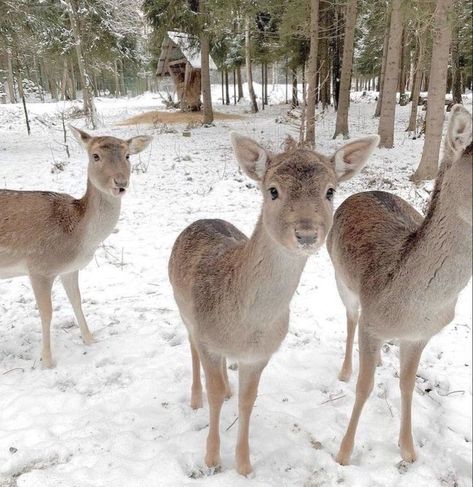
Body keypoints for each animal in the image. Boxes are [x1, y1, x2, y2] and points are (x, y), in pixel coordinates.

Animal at [0, 126, 151, 366]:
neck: (80, 239)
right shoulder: (39, 268)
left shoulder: (70, 269)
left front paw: (90, 339)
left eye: (128, 156)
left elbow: (77, 301)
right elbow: (46, 313)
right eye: (95, 156)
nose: (120, 183)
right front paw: (47, 361)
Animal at [168, 132, 378, 474]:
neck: (246, 325)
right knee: (191, 348)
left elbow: (248, 399)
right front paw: (212, 459)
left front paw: (244, 464)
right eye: (273, 190)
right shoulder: (207, 337)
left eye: (330, 190)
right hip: (182, 309)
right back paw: (195, 398)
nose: (306, 234)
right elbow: (214, 392)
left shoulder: (261, 354)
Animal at [328, 105, 472, 468]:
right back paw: (345, 370)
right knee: (350, 318)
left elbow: (407, 385)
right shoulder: (371, 320)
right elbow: (364, 387)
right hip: (340, 277)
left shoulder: (421, 336)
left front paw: (408, 450)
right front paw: (344, 453)